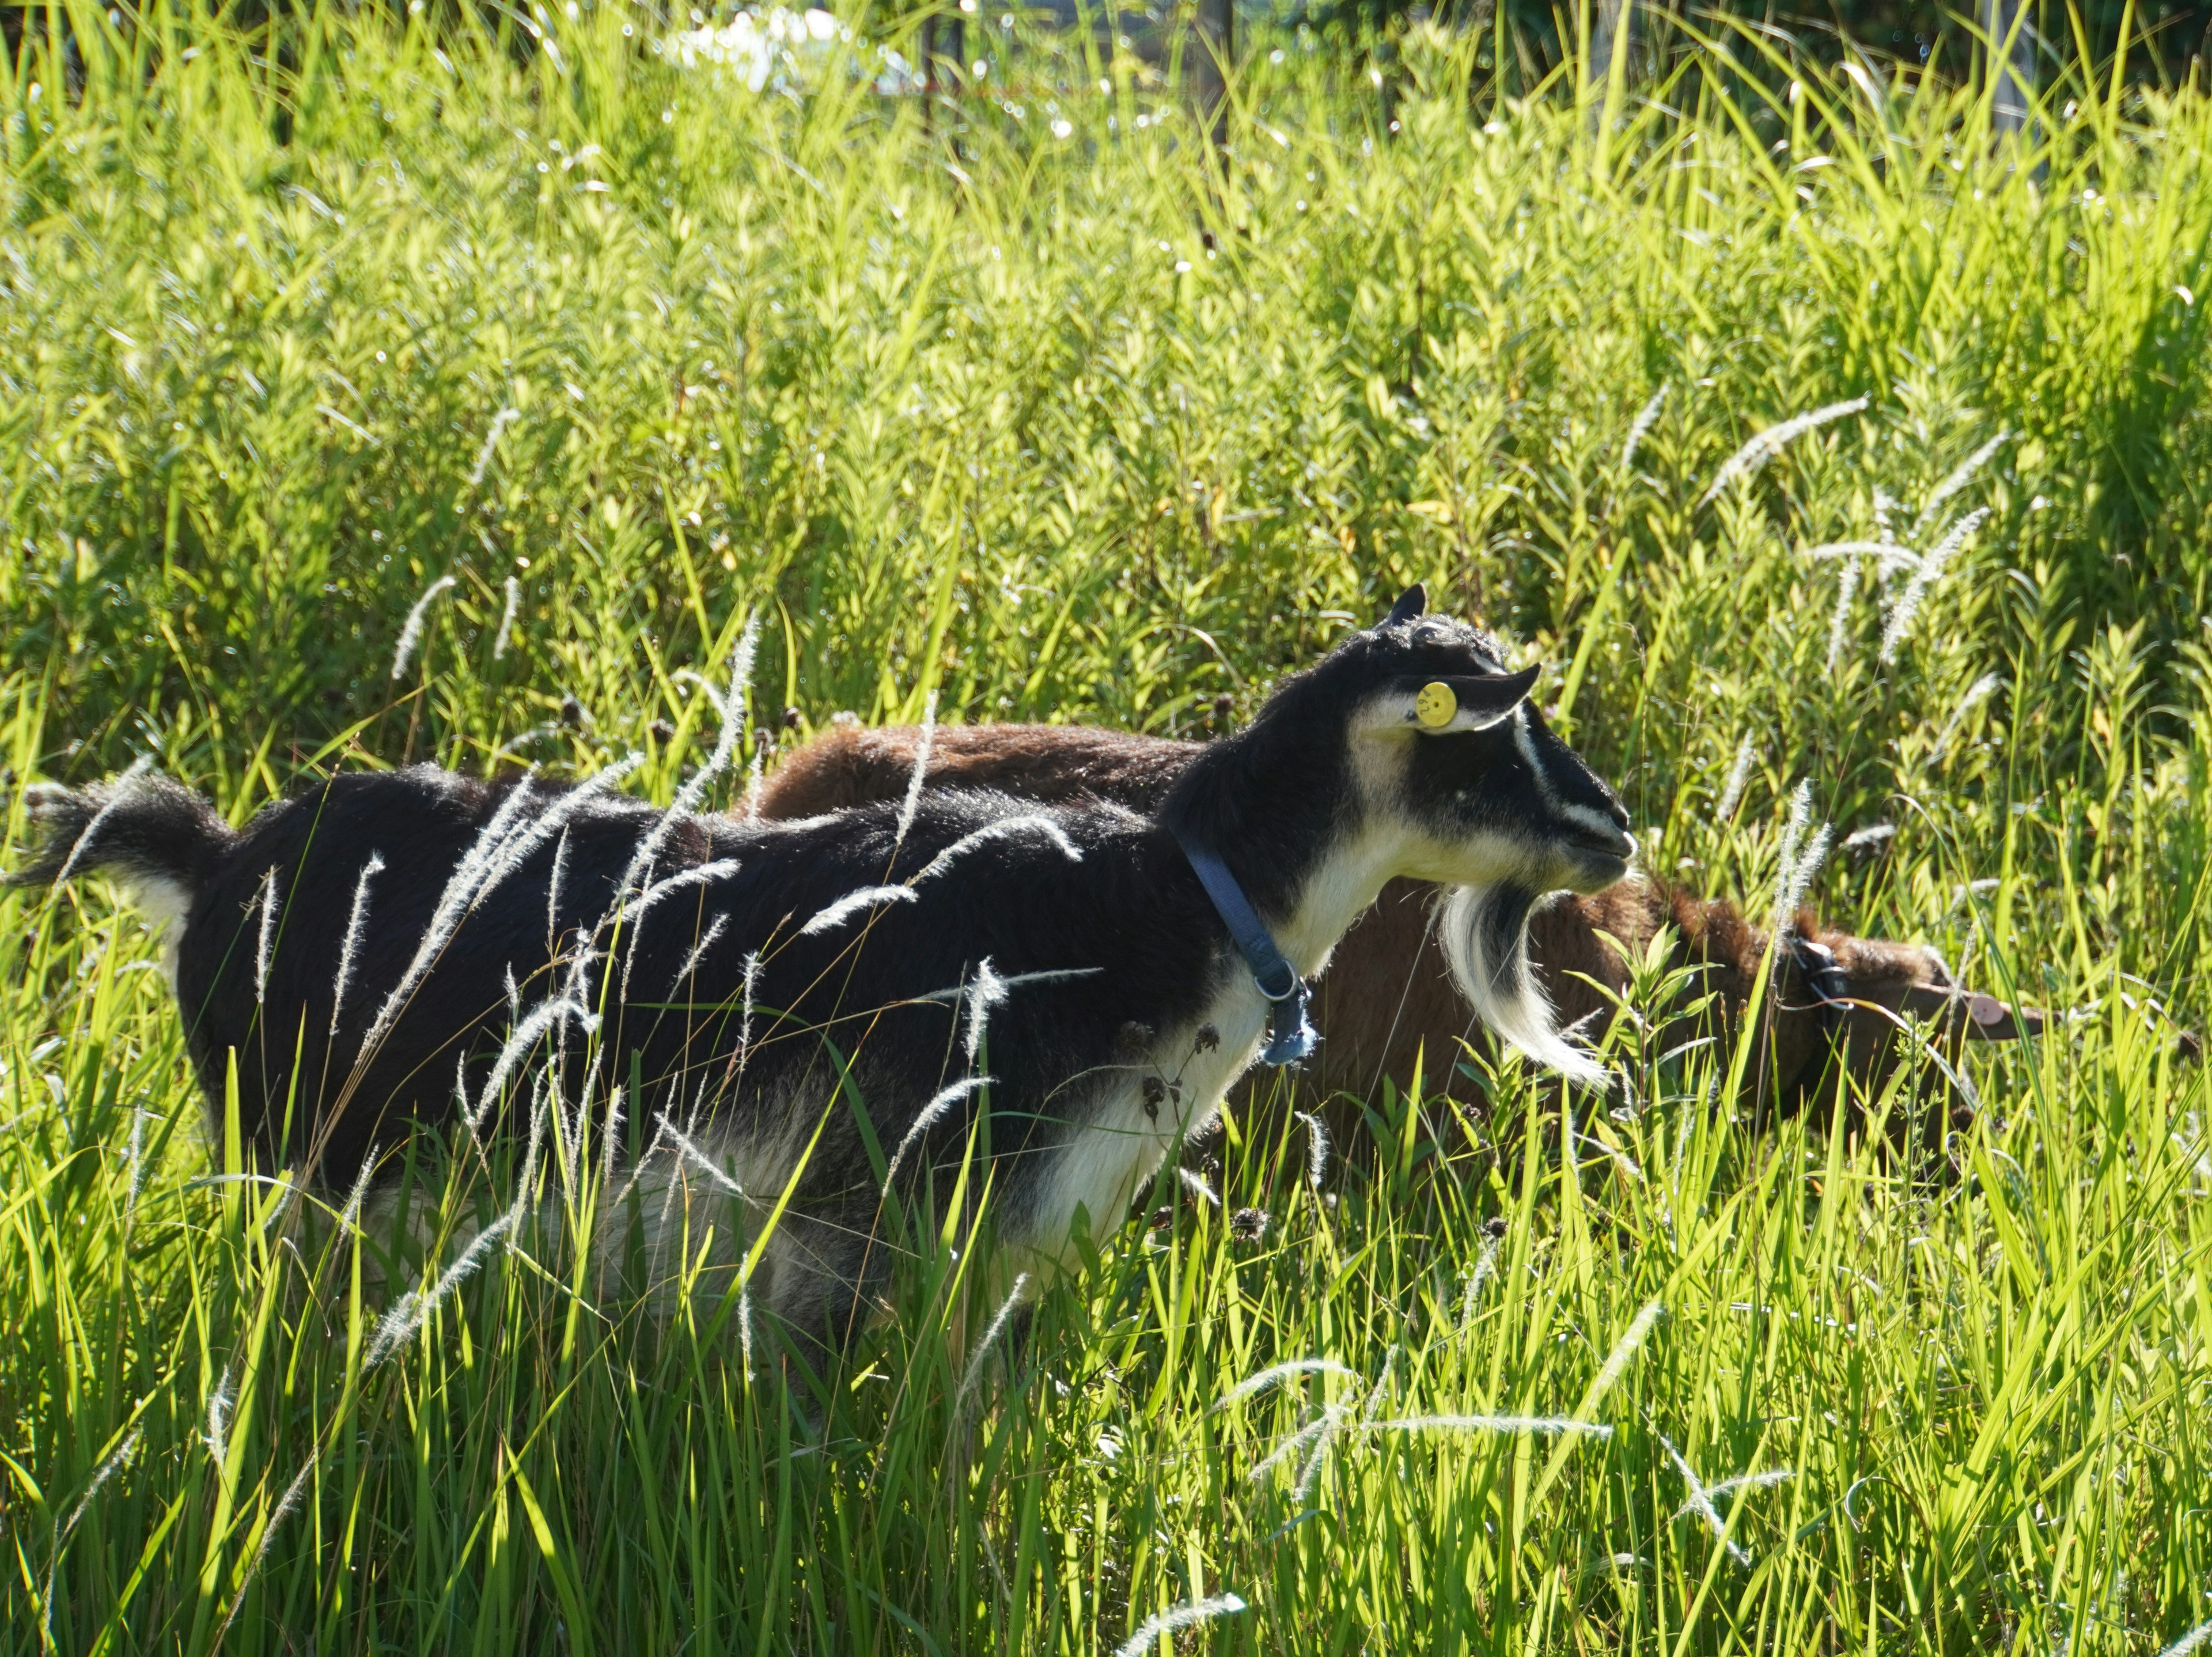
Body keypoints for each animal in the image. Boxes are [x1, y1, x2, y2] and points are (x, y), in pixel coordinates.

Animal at [13, 588, 1628, 1353]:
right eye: (1494, 729)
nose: (1613, 830)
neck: (1161, 901)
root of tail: (215, 858)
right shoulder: (889, 1214)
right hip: (320, 1157)